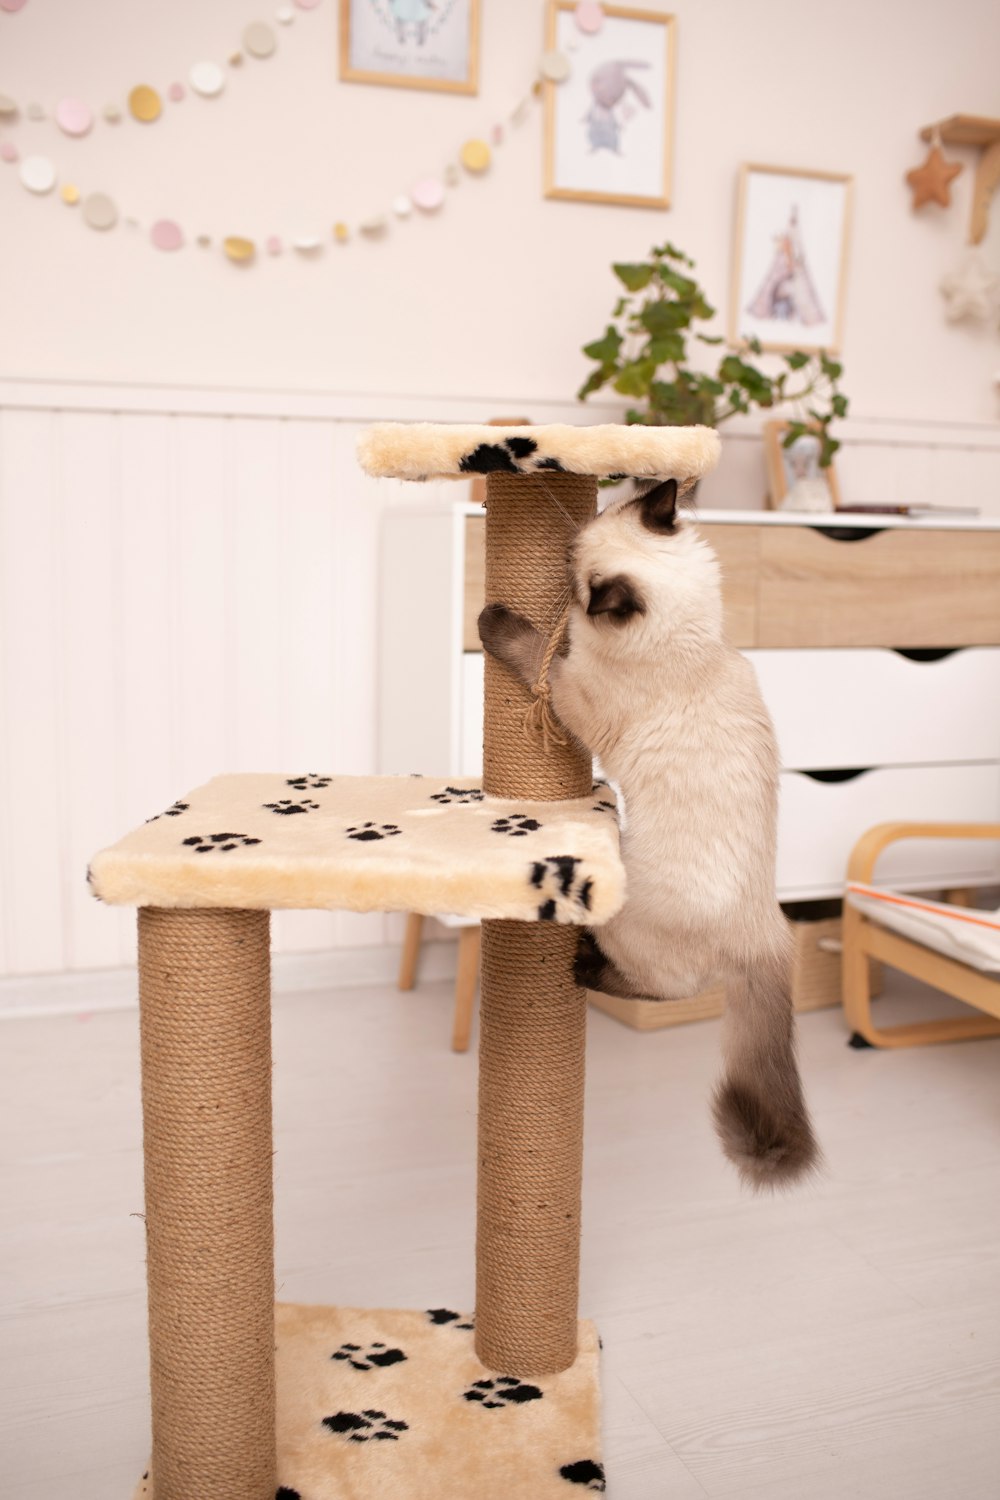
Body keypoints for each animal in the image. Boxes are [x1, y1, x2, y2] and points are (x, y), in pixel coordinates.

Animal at [479, 474, 821, 1188]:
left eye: (574, 567)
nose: (561, 560)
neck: (696, 645)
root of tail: (770, 928)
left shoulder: (571, 693)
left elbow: (535, 651)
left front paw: (497, 619)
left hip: (624, 914)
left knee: (664, 990)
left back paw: (583, 965)